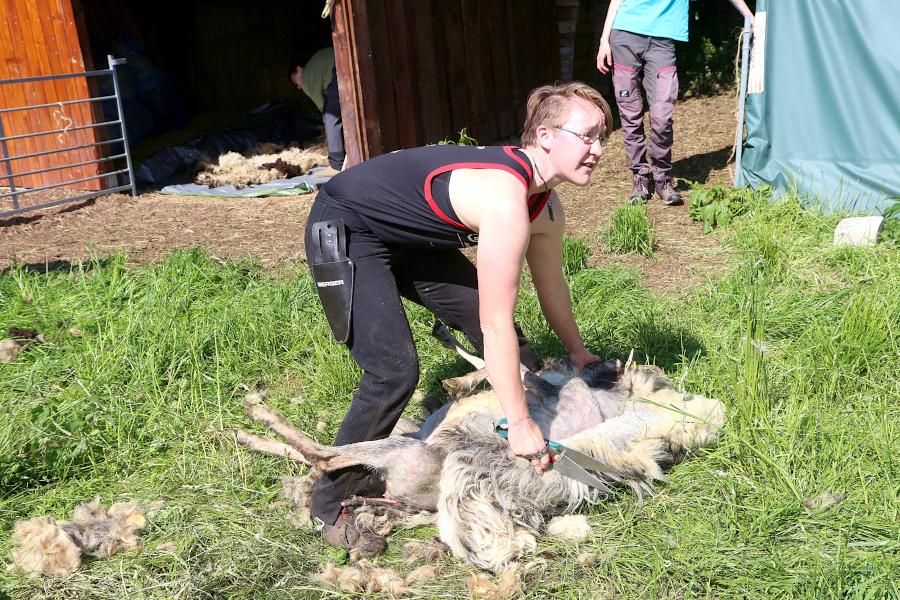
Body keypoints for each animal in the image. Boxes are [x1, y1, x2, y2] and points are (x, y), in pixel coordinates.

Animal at [234, 356, 724, 572]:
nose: (612, 364)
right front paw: (462, 380)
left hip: (404, 450)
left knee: (324, 454)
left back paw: (259, 420)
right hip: (407, 449)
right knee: (324, 456)